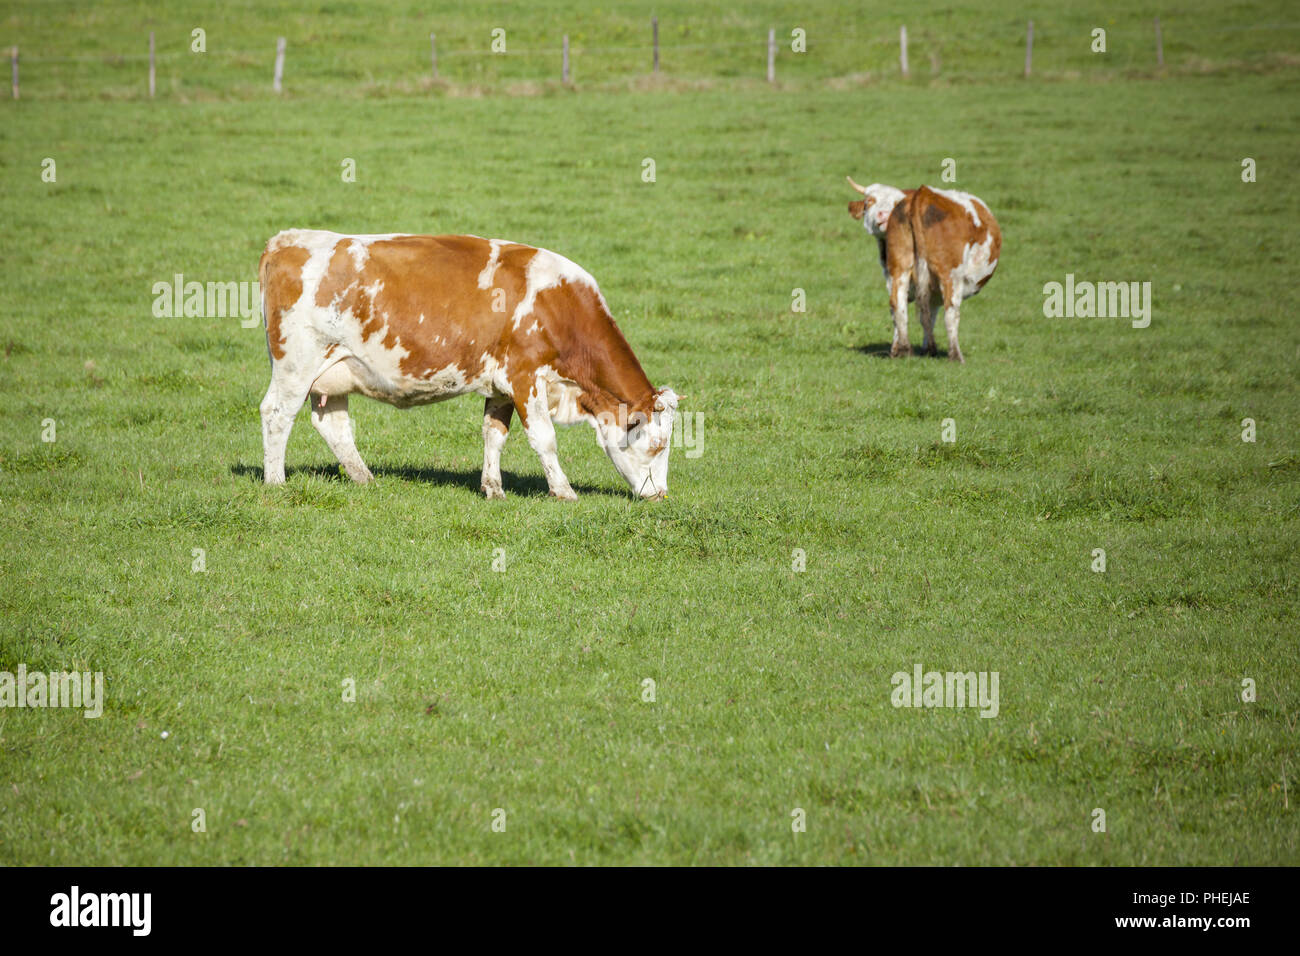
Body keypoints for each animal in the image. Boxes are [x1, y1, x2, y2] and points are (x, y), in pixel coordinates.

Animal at [257, 230, 680, 500]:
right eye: (658, 446)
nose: (660, 495)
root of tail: (286, 240)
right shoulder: (525, 377)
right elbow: (544, 438)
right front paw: (564, 491)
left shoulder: (501, 386)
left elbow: (494, 435)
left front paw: (493, 488)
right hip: (296, 364)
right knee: (277, 414)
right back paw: (276, 482)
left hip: (335, 372)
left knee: (333, 425)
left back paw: (365, 478)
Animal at [846, 177, 1001, 363]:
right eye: (869, 201)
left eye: (894, 202)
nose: (883, 214)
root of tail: (922, 195)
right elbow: (930, 315)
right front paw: (928, 348)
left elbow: (918, 314)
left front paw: (901, 348)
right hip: (951, 274)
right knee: (951, 312)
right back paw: (955, 356)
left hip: (901, 266)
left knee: (898, 304)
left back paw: (904, 350)